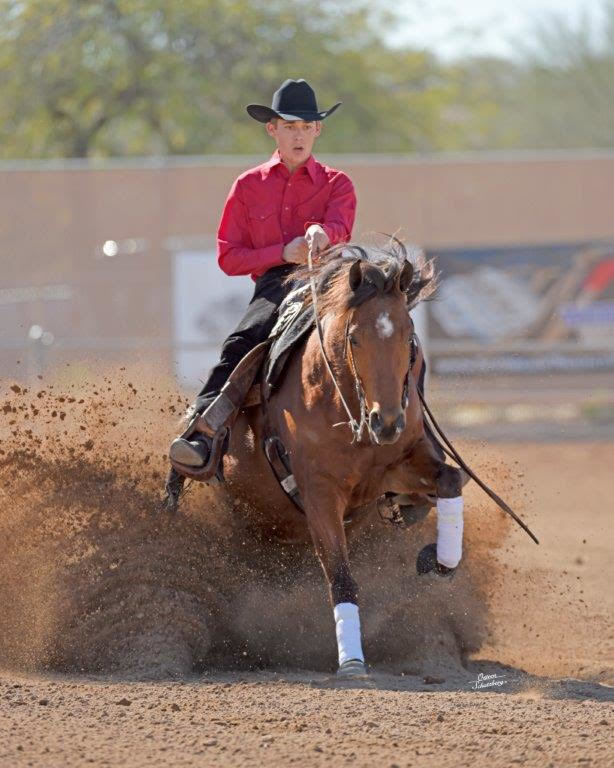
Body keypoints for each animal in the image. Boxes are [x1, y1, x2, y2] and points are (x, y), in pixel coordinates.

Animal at [218, 239, 466, 677]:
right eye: (354, 338)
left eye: (408, 335)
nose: (387, 421)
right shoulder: (319, 492)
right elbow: (341, 577)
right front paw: (351, 660)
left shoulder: (395, 468)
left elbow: (450, 480)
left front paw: (439, 562)